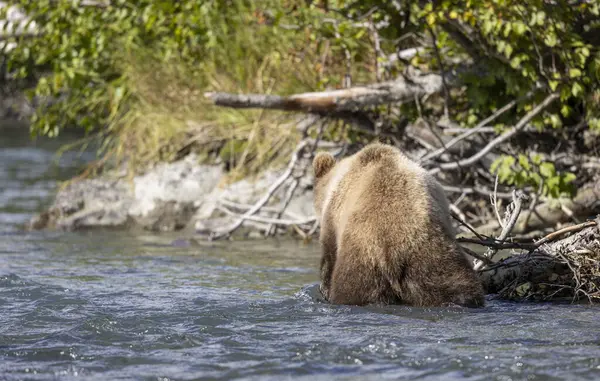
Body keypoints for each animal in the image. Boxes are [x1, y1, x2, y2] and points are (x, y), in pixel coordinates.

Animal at [312, 141, 486, 308]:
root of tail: (393, 251)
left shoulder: (333, 218)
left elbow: (329, 254)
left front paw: (324, 288)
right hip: (433, 259)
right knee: (456, 285)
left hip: (363, 262)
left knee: (352, 291)